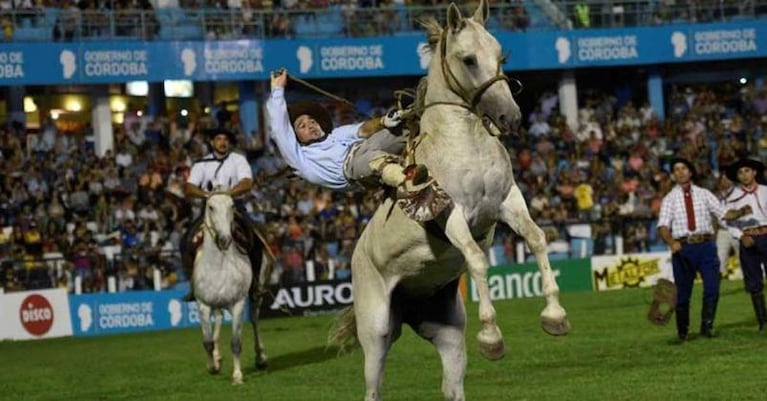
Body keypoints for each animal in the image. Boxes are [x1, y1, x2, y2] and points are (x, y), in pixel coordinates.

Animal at [330, 1, 568, 398]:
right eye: (469, 59)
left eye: (501, 55)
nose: (511, 116)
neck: (465, 143)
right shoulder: (451, 214)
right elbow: (476, 259)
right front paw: (491, 337)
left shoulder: (508, 201)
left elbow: (536, 238)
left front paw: (555, 315)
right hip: (376, 331)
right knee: (373, 384)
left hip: (449, 336)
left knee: (451, 384)